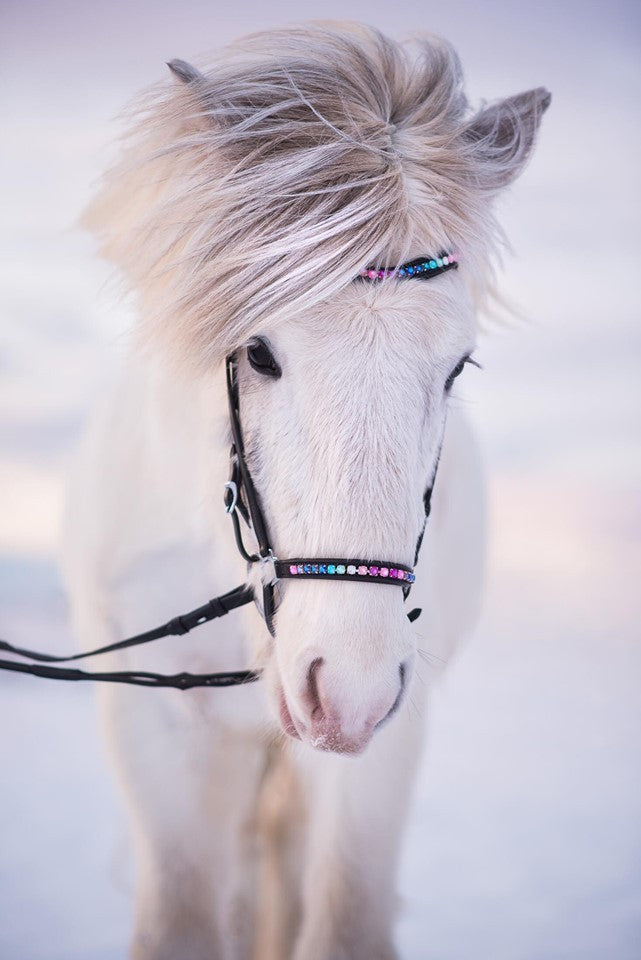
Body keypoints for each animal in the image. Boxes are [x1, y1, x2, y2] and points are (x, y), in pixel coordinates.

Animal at [62, 22, 550, 960]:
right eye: (258, 352)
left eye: (456, 367)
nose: (347, 692)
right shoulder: (159, 736)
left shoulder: (385, 739)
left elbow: (342, 916)